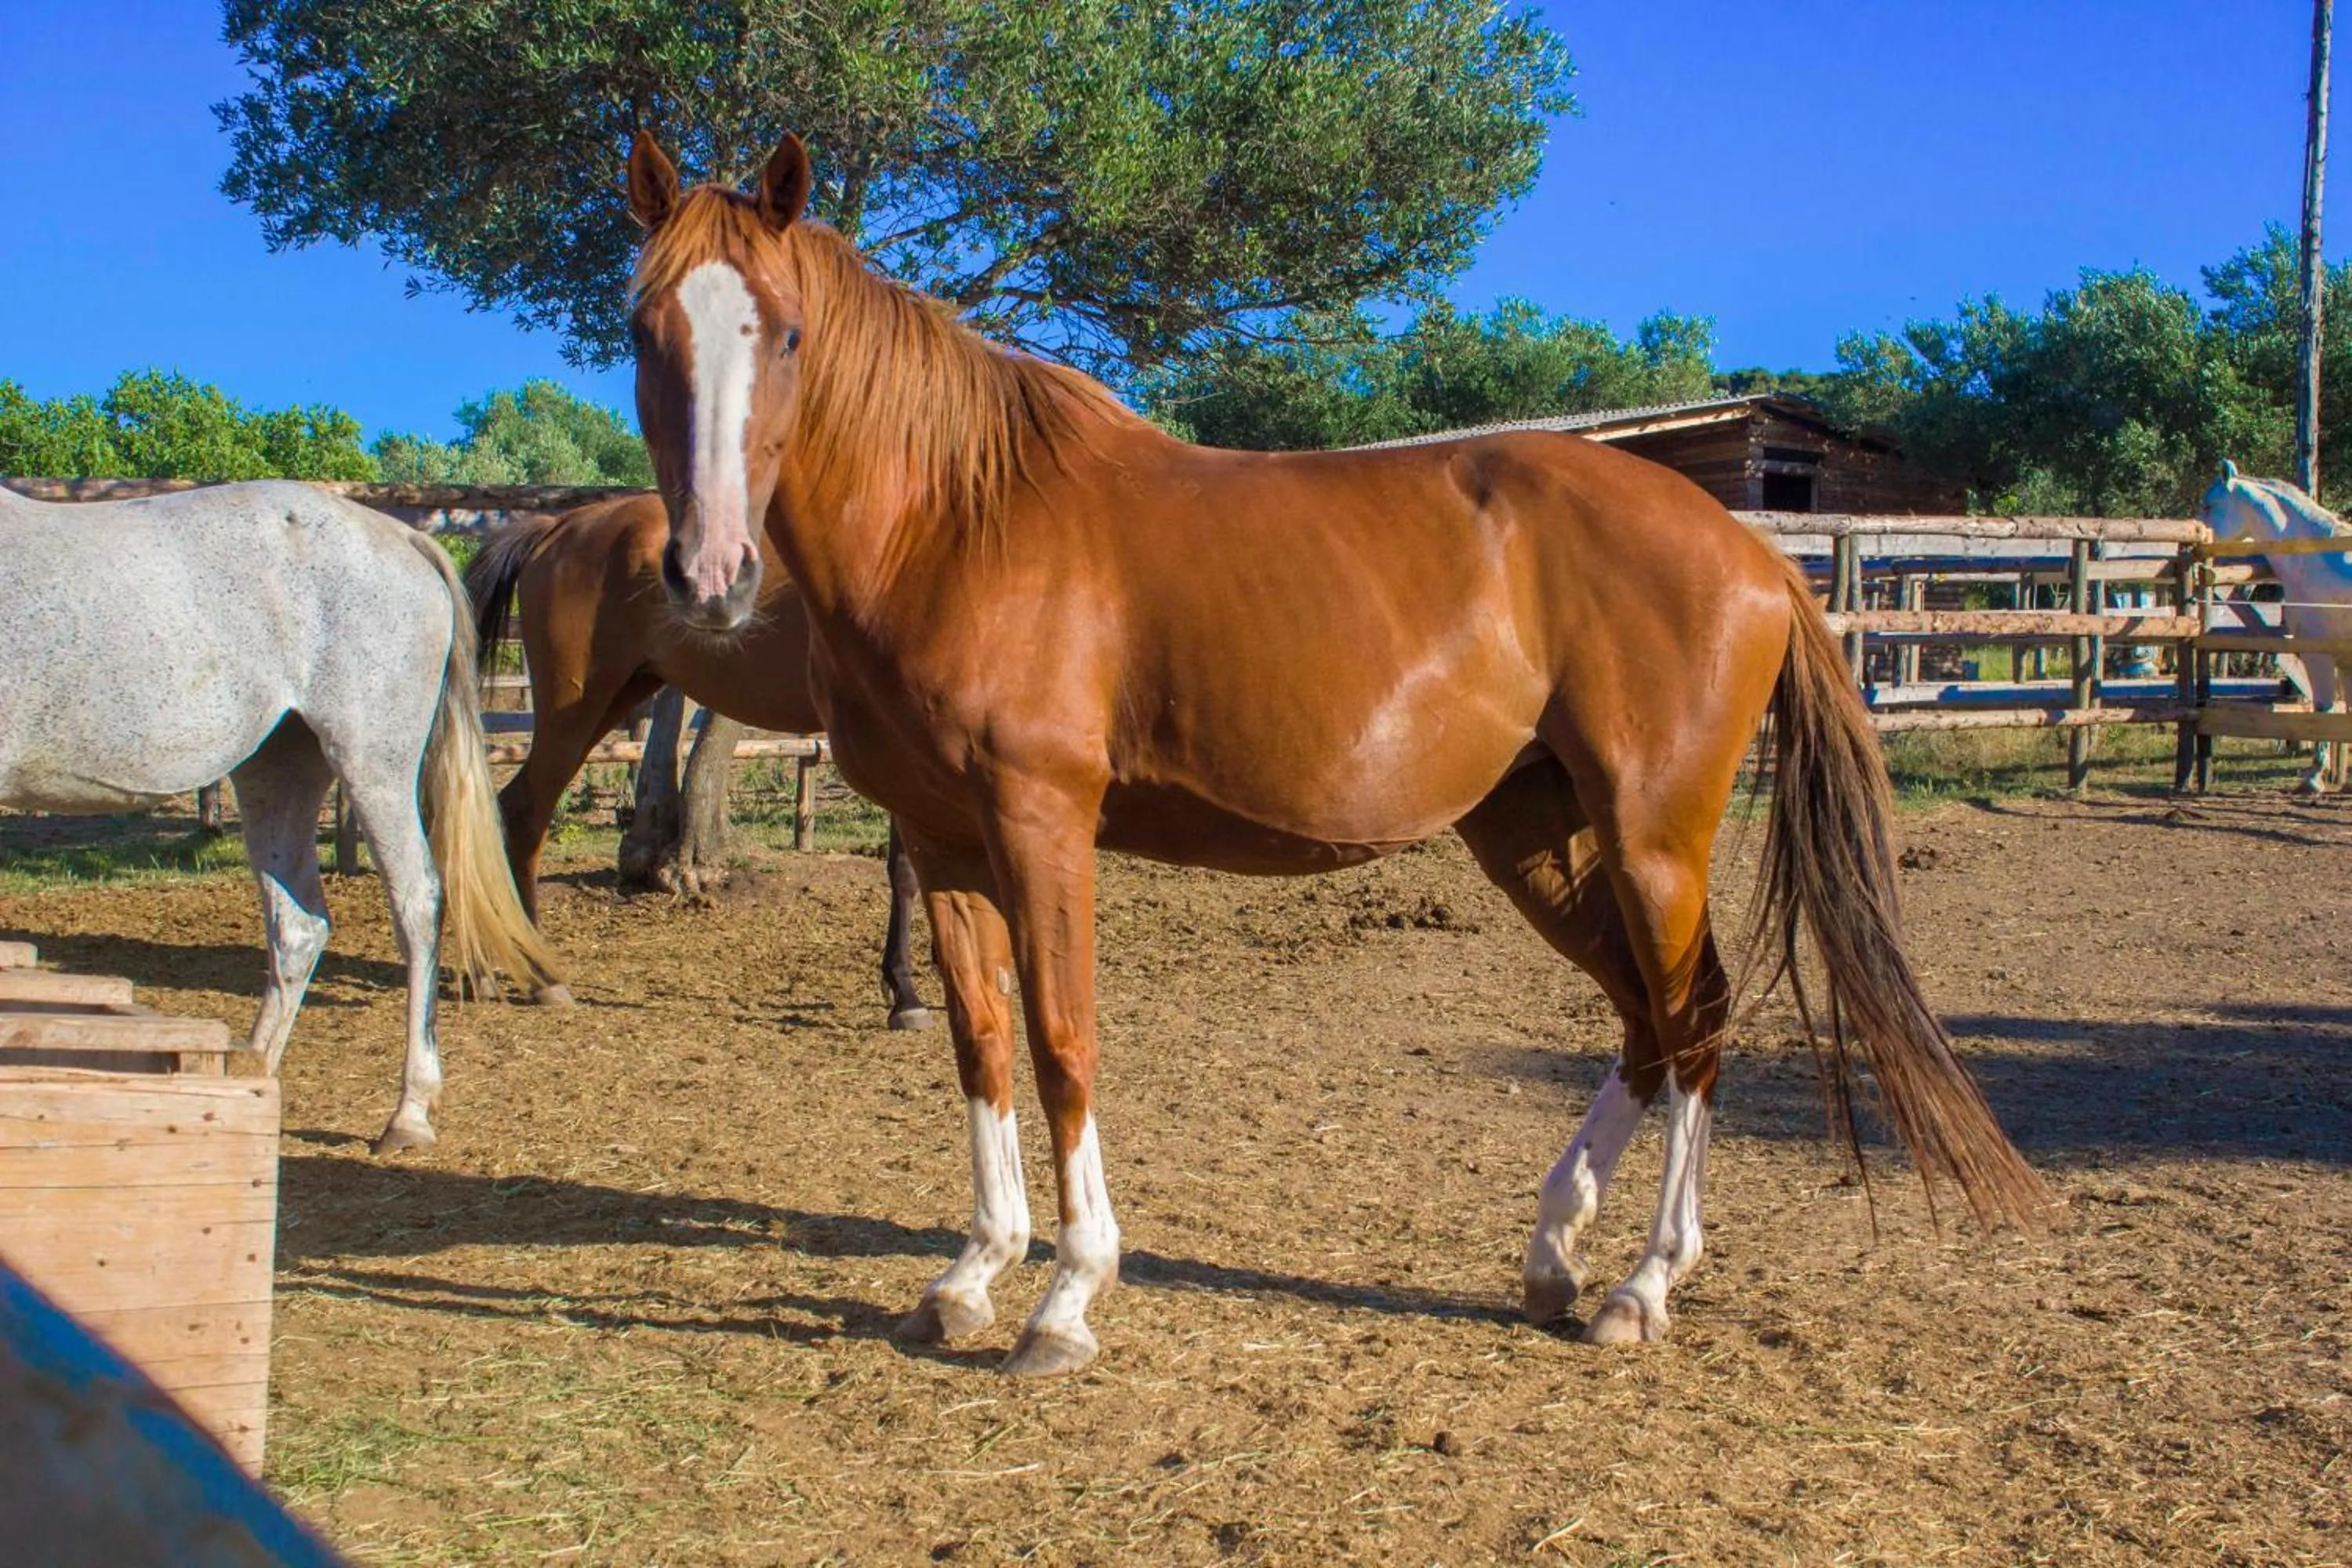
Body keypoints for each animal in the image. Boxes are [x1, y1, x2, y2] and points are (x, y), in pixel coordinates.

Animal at [0, 481, 558, 1153]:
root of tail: (404, 539)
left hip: (372, 762)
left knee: (417, 902)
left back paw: (409, 1113)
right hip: (278, 767)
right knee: (299, 925)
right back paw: (250, 1079)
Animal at [462, 493, 933, 1026]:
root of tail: (560, 525)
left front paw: (906, 990)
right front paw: (909, 995)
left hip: (614, 699)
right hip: (575, 710)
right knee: (524, 816)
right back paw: (540, 977)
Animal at [617, 133, 2048, 1376]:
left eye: (786, 332)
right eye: (646, 331)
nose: (708, 574)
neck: (958, 520)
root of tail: (1752, 552)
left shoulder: (1042, 823)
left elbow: (1063, 1038)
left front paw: (1069, 1296)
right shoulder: (944, 839)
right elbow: (979, 1042)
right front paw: (971, 1275)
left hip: (1652, 840)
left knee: (1693, 1018)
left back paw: (1643, 1286)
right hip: (1533, 836)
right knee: (1647, 1019)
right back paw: (1554, 1253)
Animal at [2202, 462, 2352, 792]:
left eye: (2209, 505)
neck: (2317, 561)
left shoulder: (2319, 655)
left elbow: (2323, 709)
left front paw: (2314, 778)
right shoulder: (2345, 661)